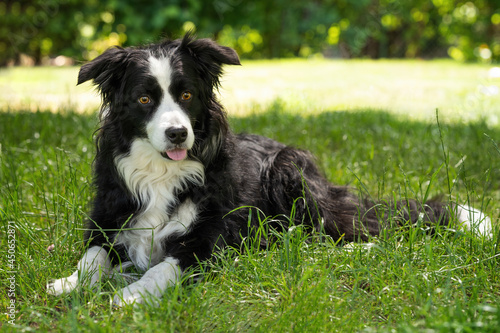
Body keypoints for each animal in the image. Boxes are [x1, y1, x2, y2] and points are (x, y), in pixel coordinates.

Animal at [47, 34, 492, 306]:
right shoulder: (107, 216)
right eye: (144, 99)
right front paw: (69, 283)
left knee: (344, 228)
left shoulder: (208, 239)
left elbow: (163, 268)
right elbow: (92, 257)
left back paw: (354, 247)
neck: (161, 174)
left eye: (187, 95)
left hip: (290, 171)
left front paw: (131, 295)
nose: (178, 134)